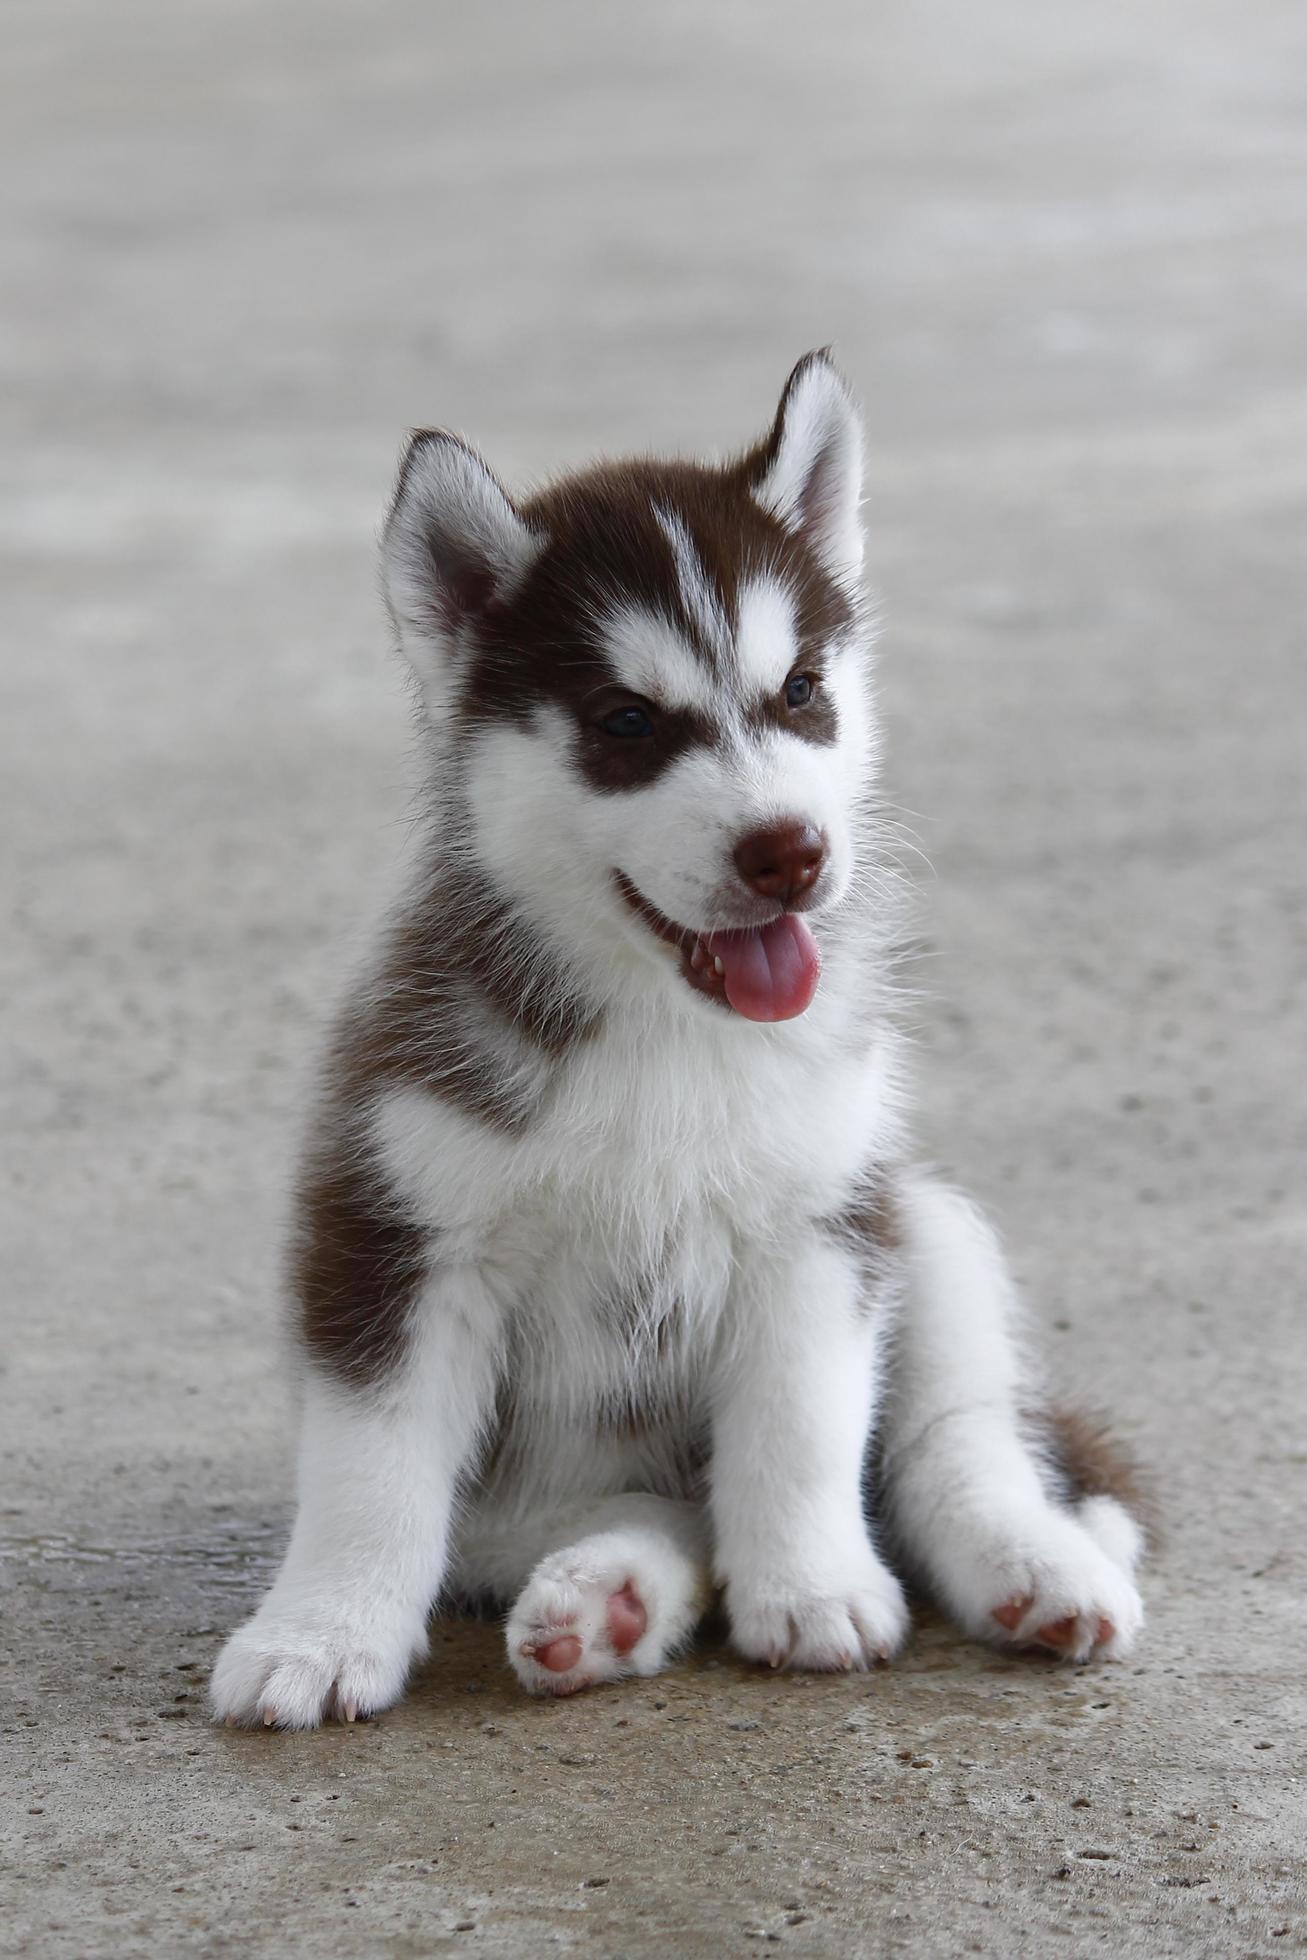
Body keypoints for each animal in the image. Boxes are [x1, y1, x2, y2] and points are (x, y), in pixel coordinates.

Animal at [212, 356, 1144, 1732]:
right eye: (624, 721)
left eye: (800, 690)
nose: (788, 853)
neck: (667, 1028)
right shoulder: (394, 1227)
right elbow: (372, 1470)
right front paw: (318, 1635)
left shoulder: (816, 1225)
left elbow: (803, 1432)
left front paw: (811, 1591)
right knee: (622, 1512)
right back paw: (605, 1598)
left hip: (919, 1217)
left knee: (951, 1435)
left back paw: (1029, 1563)